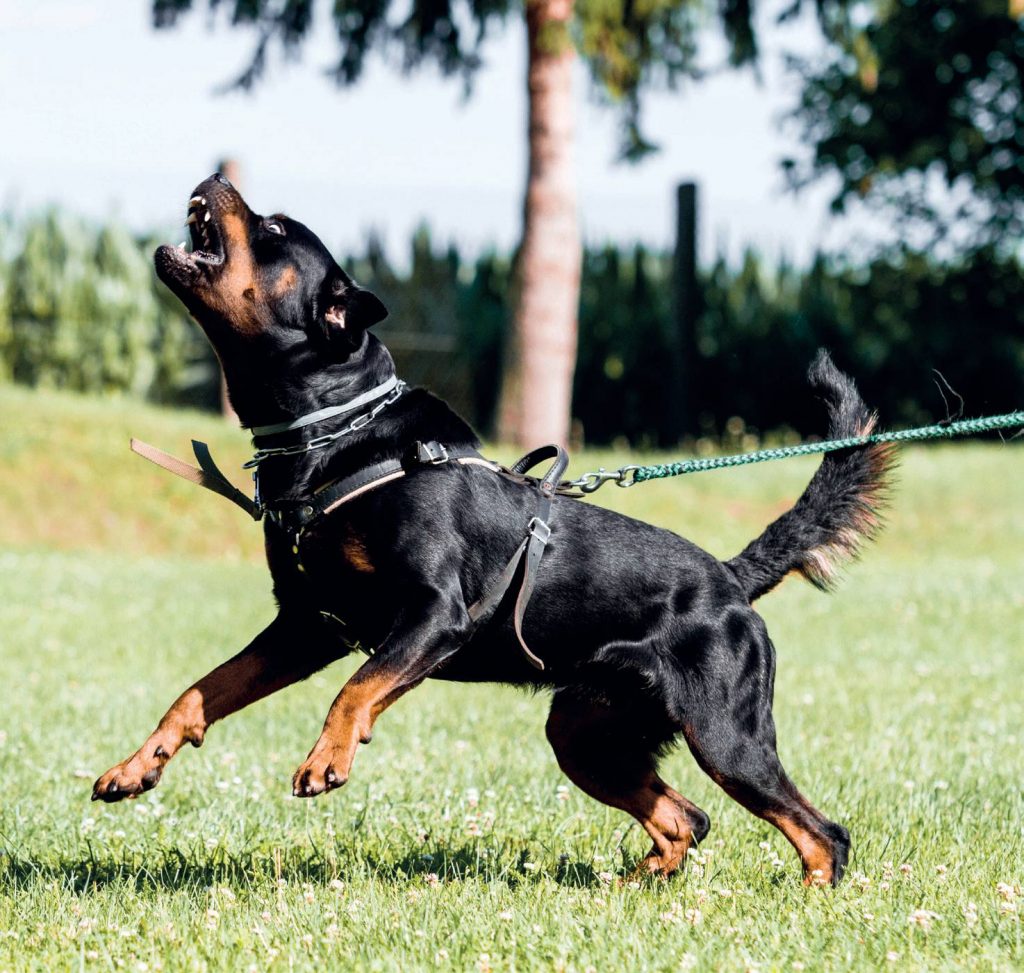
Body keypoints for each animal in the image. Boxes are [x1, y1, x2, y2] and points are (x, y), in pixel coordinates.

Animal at [92, 171, 892, 889]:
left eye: (276, 228)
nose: (217, 180)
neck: (337, 433)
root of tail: (731, 579)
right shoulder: (306, 626)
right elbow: (200, 691)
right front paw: (136, 766)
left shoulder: (432, 613)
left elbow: (354, 689)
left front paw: (327, 759)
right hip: (586, 731)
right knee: (688, 818)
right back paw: (630, 886)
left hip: (725, 732)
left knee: (822, 830)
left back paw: (809, 894)